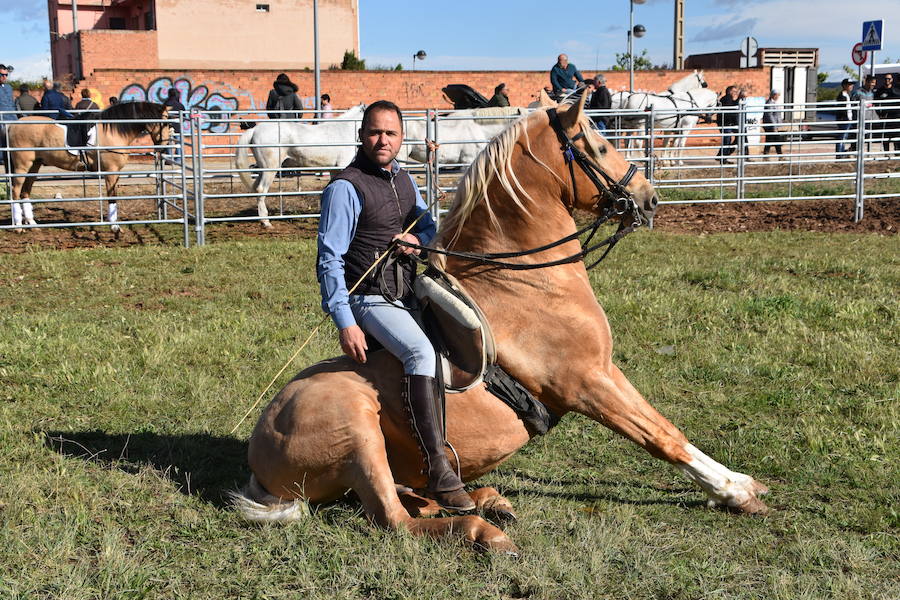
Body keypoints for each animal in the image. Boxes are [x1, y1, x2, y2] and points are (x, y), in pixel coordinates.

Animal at [6, 101, 171, 232]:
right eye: (166, 122)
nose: (163, 147)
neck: (113, 131)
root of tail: (12, 126)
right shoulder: (111, 172)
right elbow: (112, 197)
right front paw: (115, 227)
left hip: (34, 166)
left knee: (25, 192)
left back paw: (32, 224)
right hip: (22, 167)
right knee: (15, 191)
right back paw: (18, 227)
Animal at [237, 104, 368, 226]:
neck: (345, 130)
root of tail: (254, 130)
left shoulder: (334, 169)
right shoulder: (342, 165)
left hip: (262, 168)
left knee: (256, 187)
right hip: (270, 168)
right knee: (261, 189)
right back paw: (266, 222)